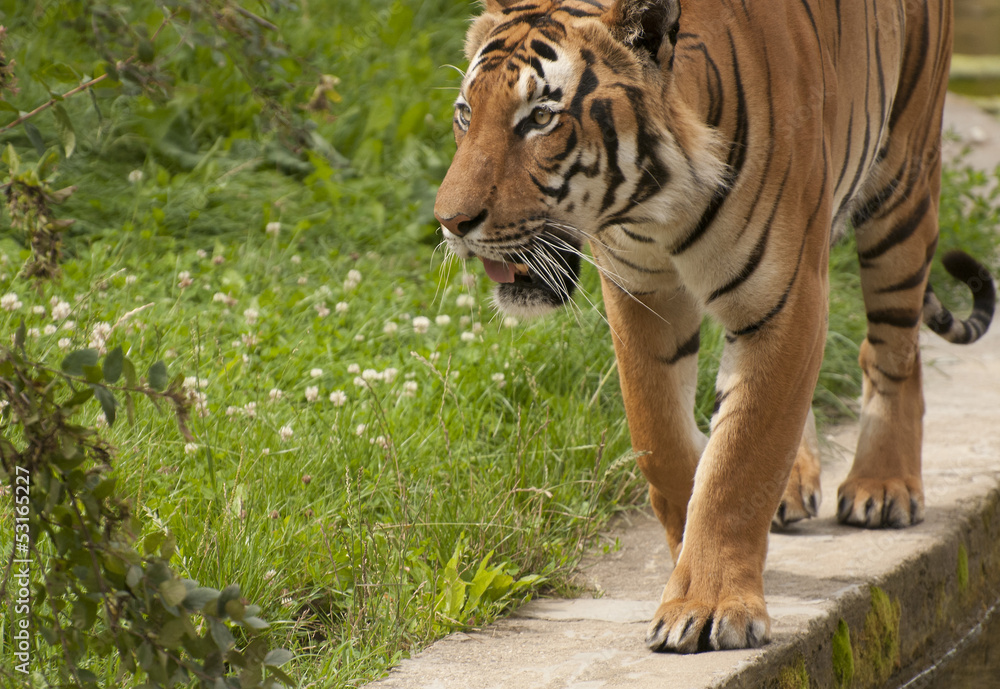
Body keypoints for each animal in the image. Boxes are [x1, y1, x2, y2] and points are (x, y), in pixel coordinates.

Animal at [433, 0, 996, 653]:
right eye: (465, 113)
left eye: (541, 118)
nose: (450, 222)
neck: (654, 211)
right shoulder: (641, 295)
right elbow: (664, 440)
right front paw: (685, 554)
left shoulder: (786, 300)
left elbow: (739, 461)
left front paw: (704, 606)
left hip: (903, 186)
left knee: (892, 348)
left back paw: (884, 486)